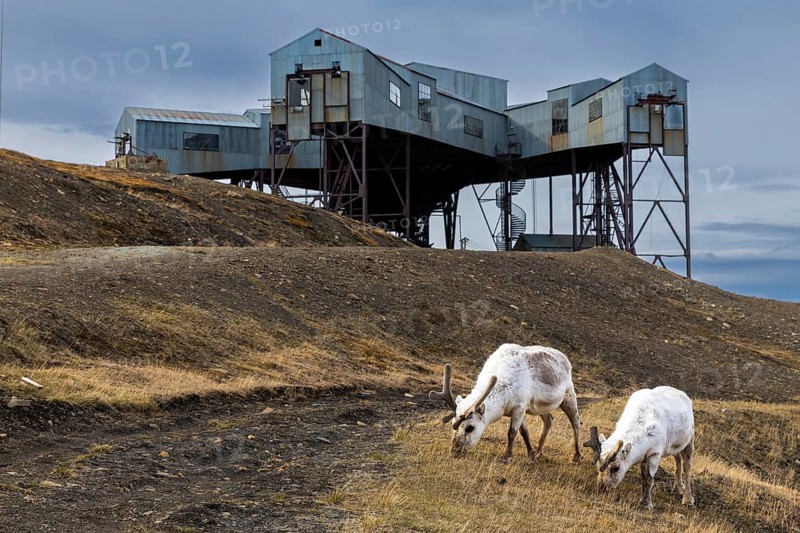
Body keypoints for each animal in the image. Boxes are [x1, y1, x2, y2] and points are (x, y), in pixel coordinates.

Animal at [429, 343, 582, 463]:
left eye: (470, 428)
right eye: (452, 424)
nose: (454, 451)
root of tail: (564, 357)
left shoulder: (520, 407)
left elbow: (512, 432)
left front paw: (507, 456)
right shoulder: (522, 409)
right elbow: (524, 431)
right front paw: (532, 454)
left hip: (569, 395)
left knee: (575, 423)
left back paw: (577, 455)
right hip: (540, 407)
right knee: (549, 420)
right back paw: (539, 452)